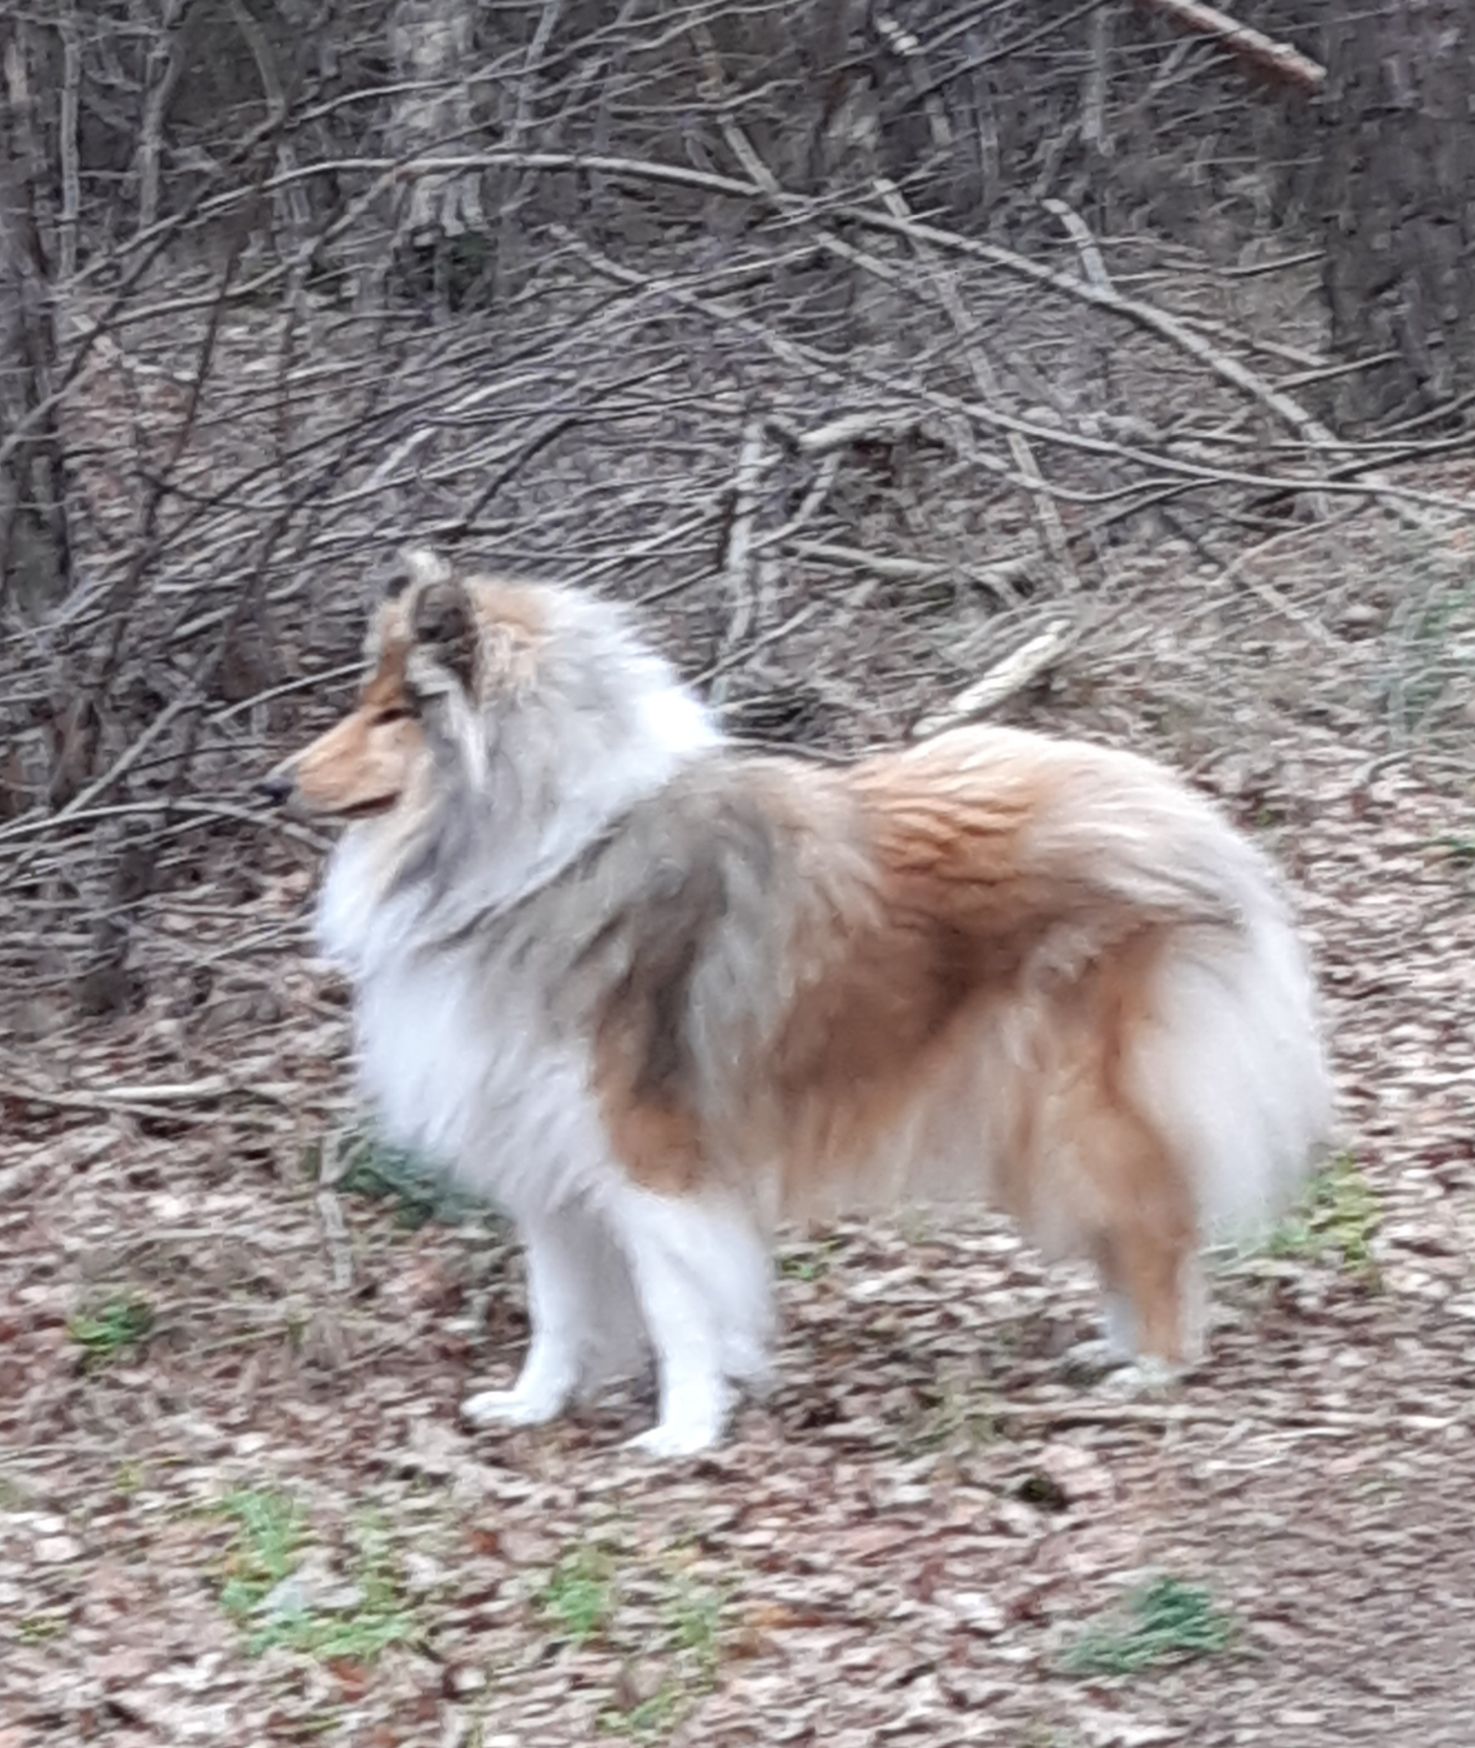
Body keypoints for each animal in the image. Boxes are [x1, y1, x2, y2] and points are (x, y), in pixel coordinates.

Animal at [260, 548, 1331, 1457]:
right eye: (368, 701)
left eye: (399, 713)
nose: (273, 784)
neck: (542, 852)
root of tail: (1180, 813)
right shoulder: (546, 1151)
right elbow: (557, 1306)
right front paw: (531, 1406)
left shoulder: (649, 1154)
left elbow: (676, 1302)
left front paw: (683, 1431)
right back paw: (1110, 1348)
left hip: (1073, 1101)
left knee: (1156, 1222)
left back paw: (1150, 1367)